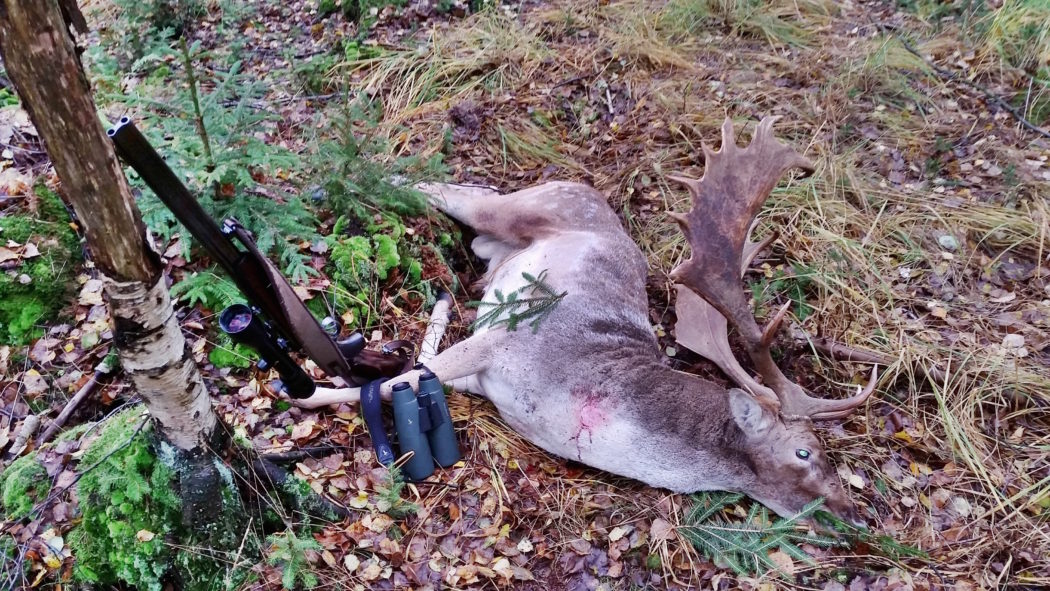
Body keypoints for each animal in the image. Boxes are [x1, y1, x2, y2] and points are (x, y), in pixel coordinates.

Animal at [293, 117, 876, 525]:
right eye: (804, 451)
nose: (855, 514)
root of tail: (581, 184)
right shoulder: (502, 340)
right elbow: (386, 383)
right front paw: (304, 393)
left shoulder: (483, 373)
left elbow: (413, 375)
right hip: (524, 209)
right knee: (447, 191)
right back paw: (339, 180)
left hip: (495, 238)